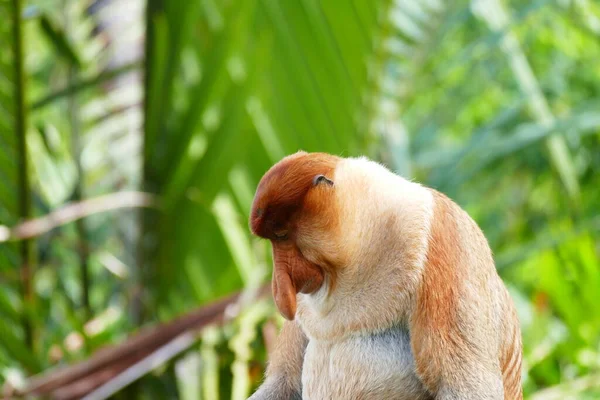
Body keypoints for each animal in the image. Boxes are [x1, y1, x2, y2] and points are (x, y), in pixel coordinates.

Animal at [246, 152, 524, 398]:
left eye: (281, 235)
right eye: (274, 239)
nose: (278, 290)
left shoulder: (445, 237)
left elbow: (465, 386)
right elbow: (284, 382)